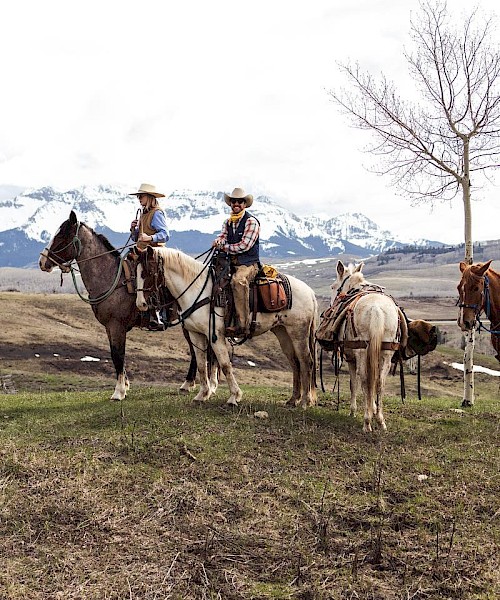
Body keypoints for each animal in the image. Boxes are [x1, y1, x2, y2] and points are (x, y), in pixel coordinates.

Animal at [38, 210, 207, 398]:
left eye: (61, 236)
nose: (42, 262)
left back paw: (188, 383)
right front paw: (125, 384)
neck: (112, 279)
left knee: (195, 350)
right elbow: (116, 355)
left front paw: (118, 392)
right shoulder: (109, 327)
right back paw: (188, 384)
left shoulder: (116, 325)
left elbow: (118, 354)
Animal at [135, 245, 318, 408]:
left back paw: (305, 401)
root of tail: (310, 291)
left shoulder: (215, 335)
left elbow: (224, 364)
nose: (141, 304)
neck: (197, 290)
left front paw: (234, 397)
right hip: (282, 332)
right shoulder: (195, 334)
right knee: (294, 362)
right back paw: (293, 400)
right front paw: (202, 395)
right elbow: (201, 364)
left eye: (148, 272)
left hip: (298, 332)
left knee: (305, 361)